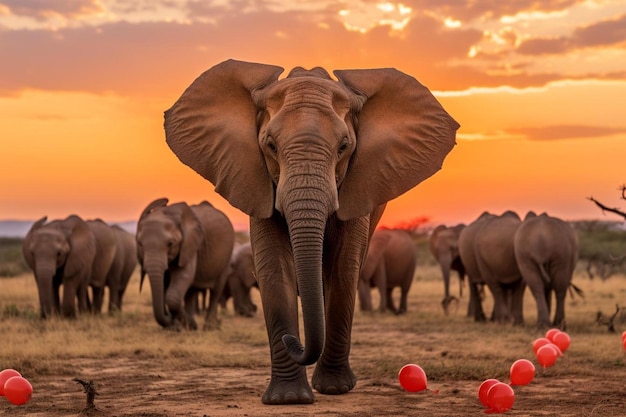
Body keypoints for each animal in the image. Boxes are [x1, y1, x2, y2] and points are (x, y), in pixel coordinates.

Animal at [136, 197, 234, 330]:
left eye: (170, 244)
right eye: (140, 244)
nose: (165, 200)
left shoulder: (190, 245)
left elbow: (182, 275)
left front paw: (183, 325)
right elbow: (166, 283)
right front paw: (177, 327)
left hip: (226, 257)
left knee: (216, 290)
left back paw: (209, 326)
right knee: (191, 291)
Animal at [163, 58, 456, 404]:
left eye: (344, 146)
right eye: (270, 145)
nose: (292, 341)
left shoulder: (358, 185)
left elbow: (343, 268)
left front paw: (334, 389)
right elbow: (274, 267)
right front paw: (288, 398)